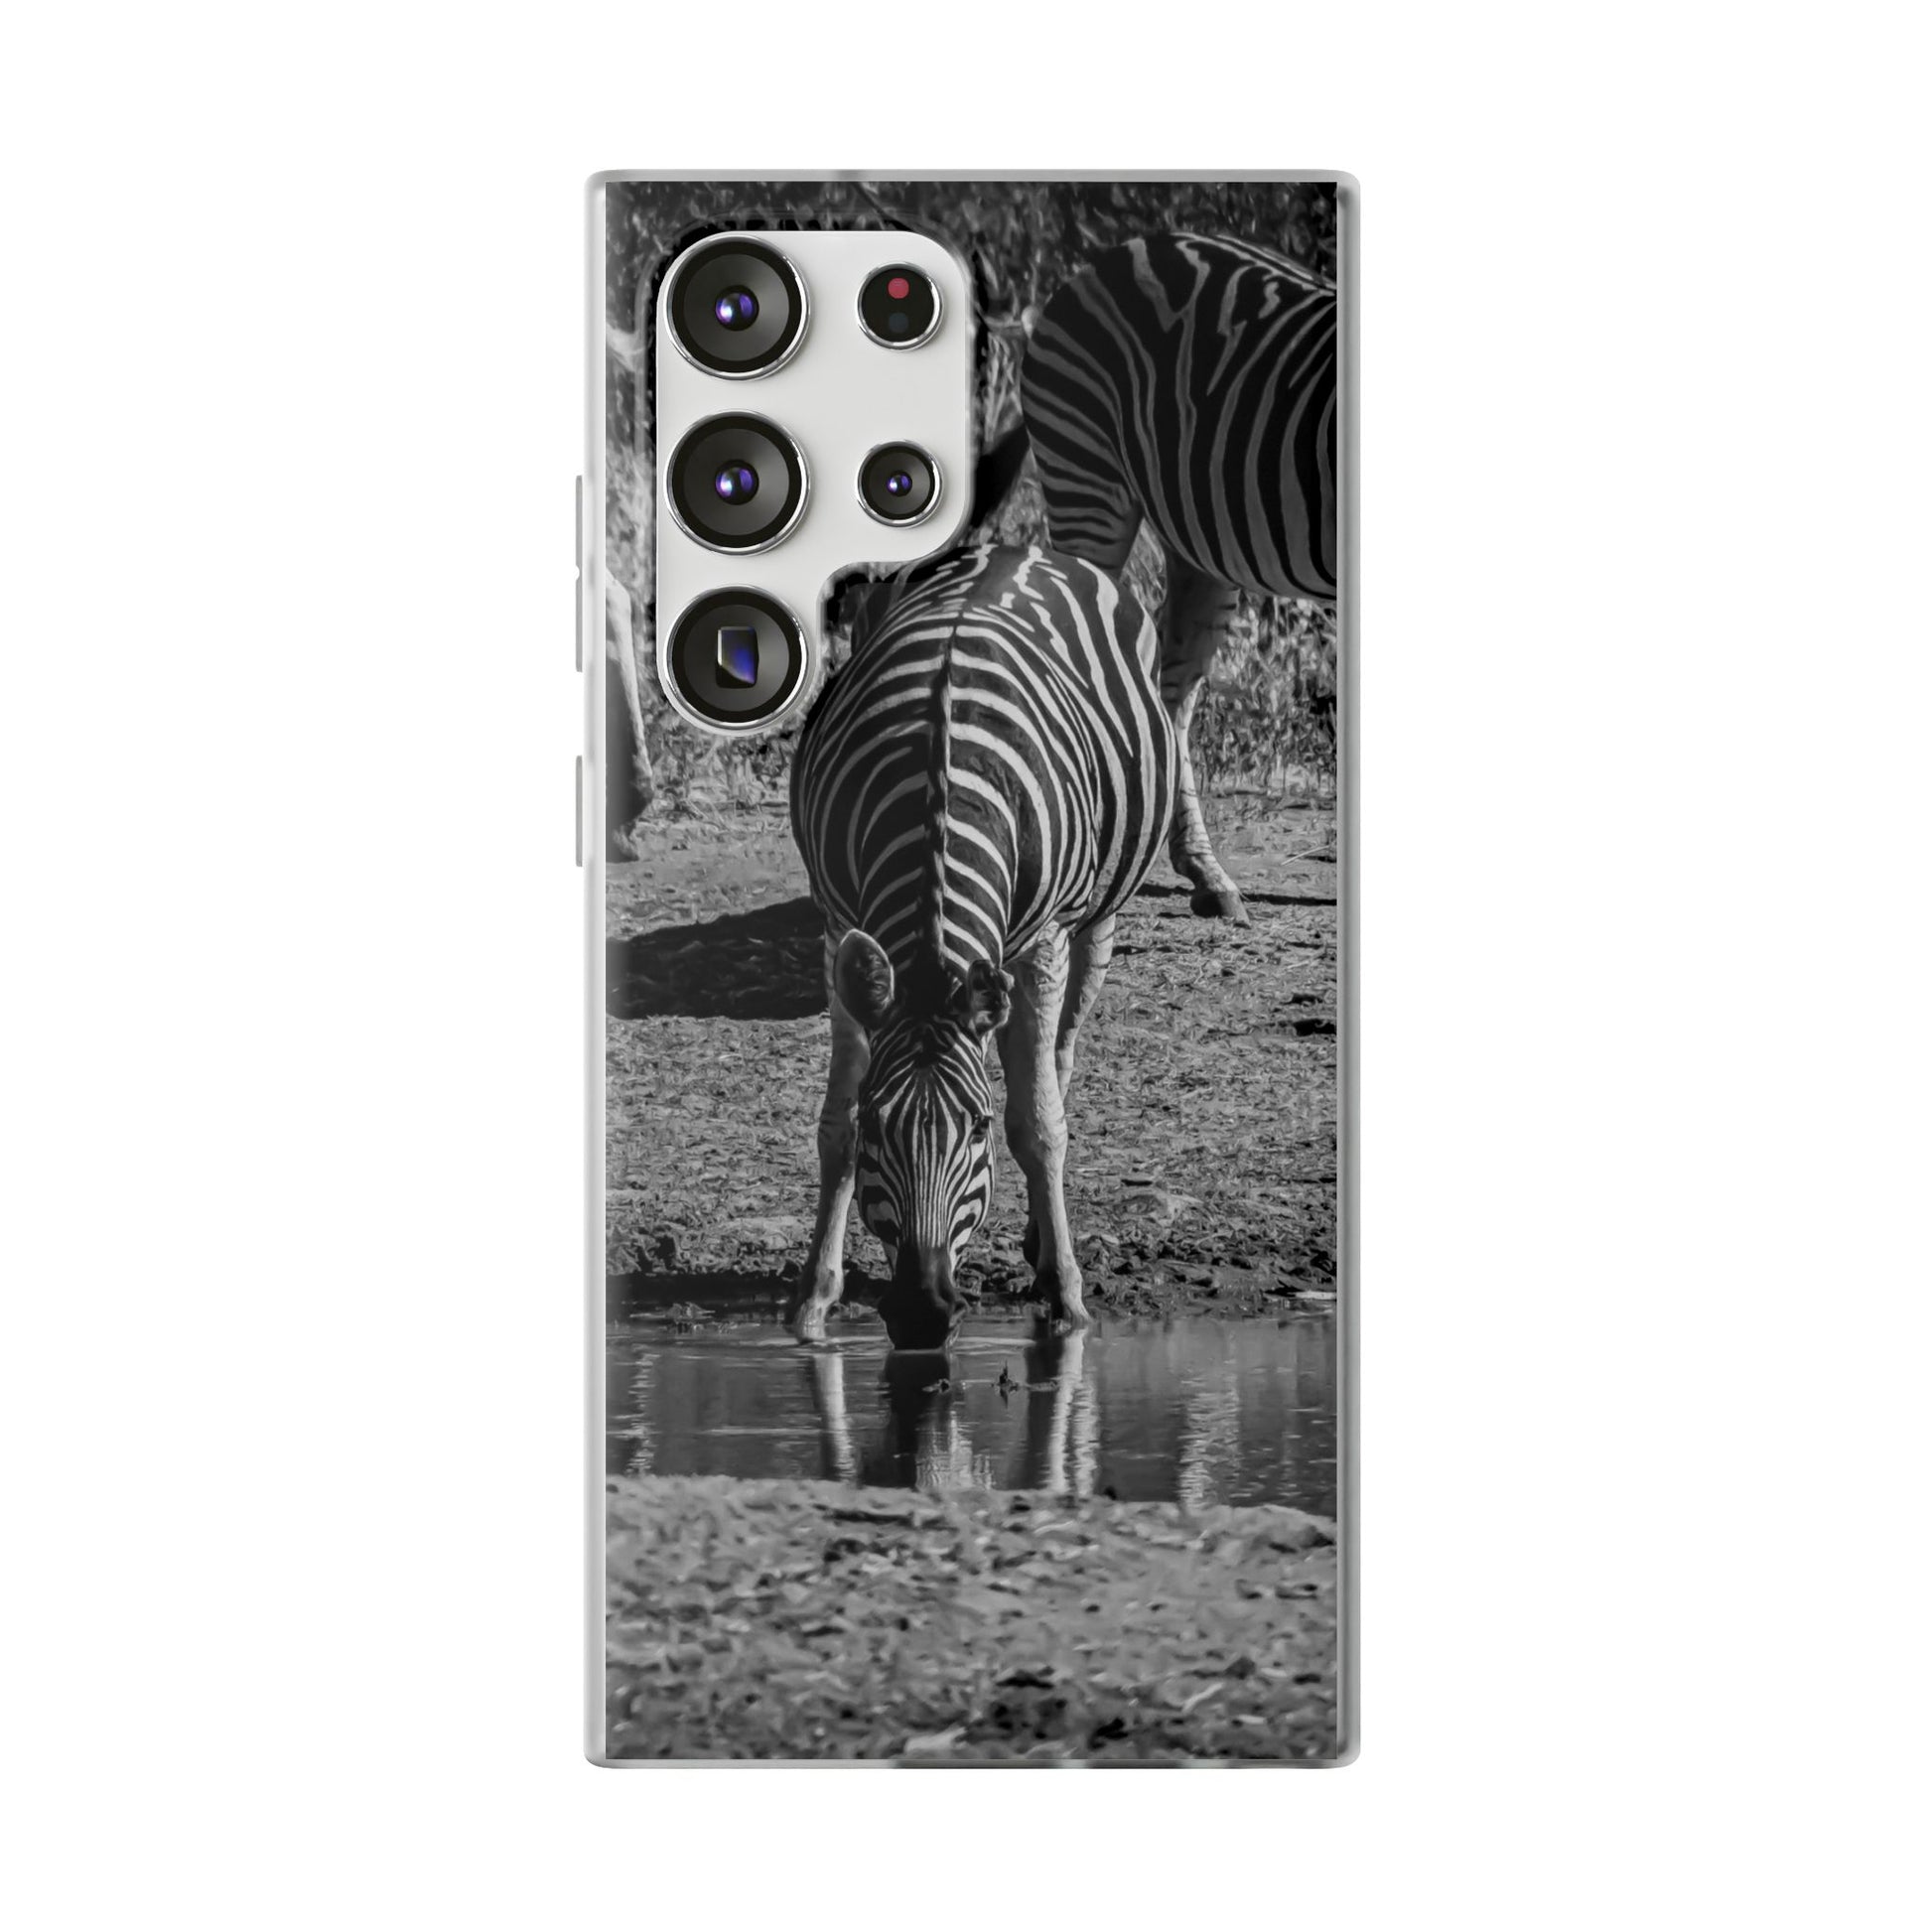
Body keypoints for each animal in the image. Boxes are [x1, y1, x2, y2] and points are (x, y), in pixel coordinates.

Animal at [788, 544, 1175, 1350]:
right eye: (881, 1125)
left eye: (977, 1128)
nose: (921, 1312)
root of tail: (1020, 546)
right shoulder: (837, 923)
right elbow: (835, 1126)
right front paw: (813, 1299)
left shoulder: (1045, 940)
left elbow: (1039, 1123)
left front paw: (1066, 1297)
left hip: (1096, 917)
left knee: (1058, 1057)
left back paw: (1041, 1239)